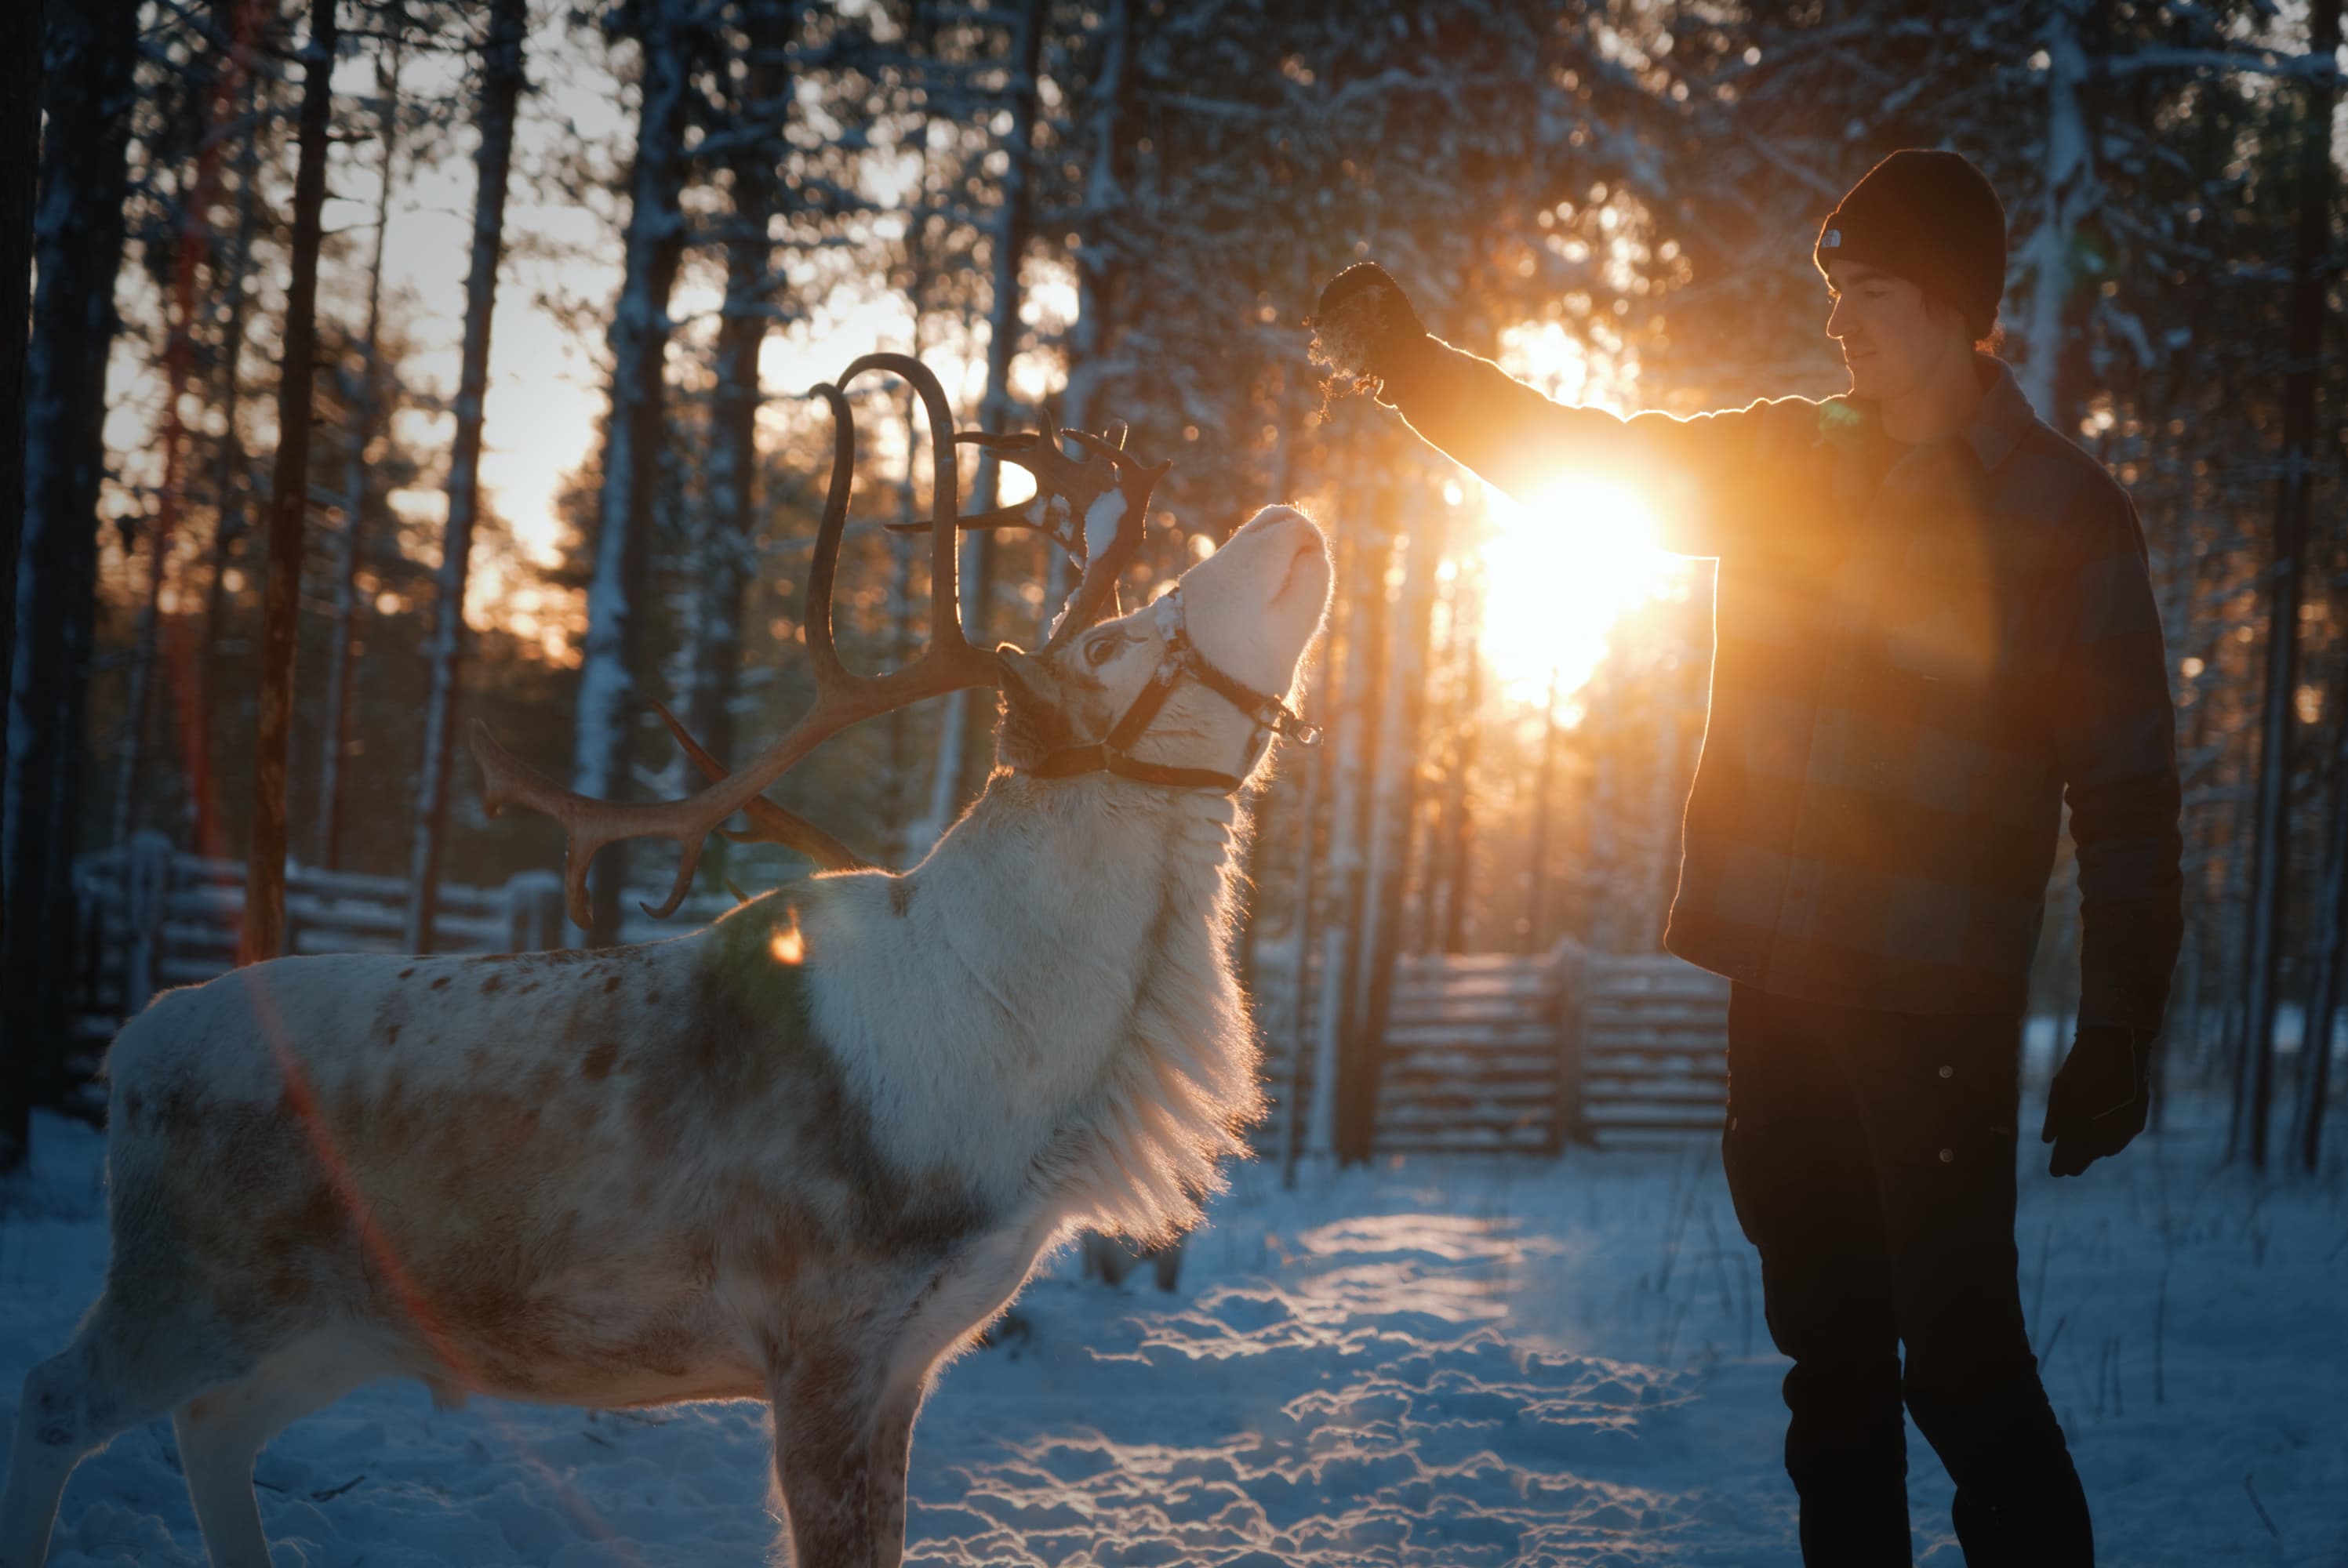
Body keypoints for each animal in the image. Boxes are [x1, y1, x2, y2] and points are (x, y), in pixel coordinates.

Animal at [0, 353, 1333, 1568]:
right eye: (1112, 645)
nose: (1284, 516)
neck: (1026, 1068)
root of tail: (134, 1044)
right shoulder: (821, 1340)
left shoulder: (910, 1357)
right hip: (190, 1287)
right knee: (56, 1401)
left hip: (339, 1322)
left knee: (215, 1427)